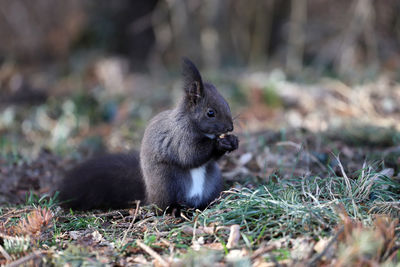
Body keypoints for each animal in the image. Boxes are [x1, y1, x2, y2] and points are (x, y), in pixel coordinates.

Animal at [58, 58, 239, 211]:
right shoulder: (179, 138)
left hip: (213, 180)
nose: (230, 127)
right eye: (210, 113)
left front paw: (232, 141)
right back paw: (175, 210)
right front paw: (220, 143)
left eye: (227, 104)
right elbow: (190, 155)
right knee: (164, 205)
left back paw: (211, 204)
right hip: (167, 182)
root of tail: (149, 195)